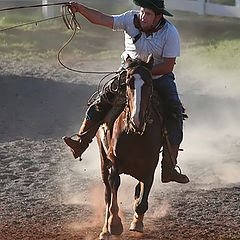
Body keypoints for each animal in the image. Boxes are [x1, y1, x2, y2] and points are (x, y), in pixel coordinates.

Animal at [95, 54, 163, 240]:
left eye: (150, 84)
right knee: (107, 193)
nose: (136, 120)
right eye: (128, 83)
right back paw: (105, 231)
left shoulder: (151, 166)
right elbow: (114, 186)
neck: (134, 134)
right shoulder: (113, 161)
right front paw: (115, 224)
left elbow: (142, 198)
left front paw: (137, 222)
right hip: (103, 160)